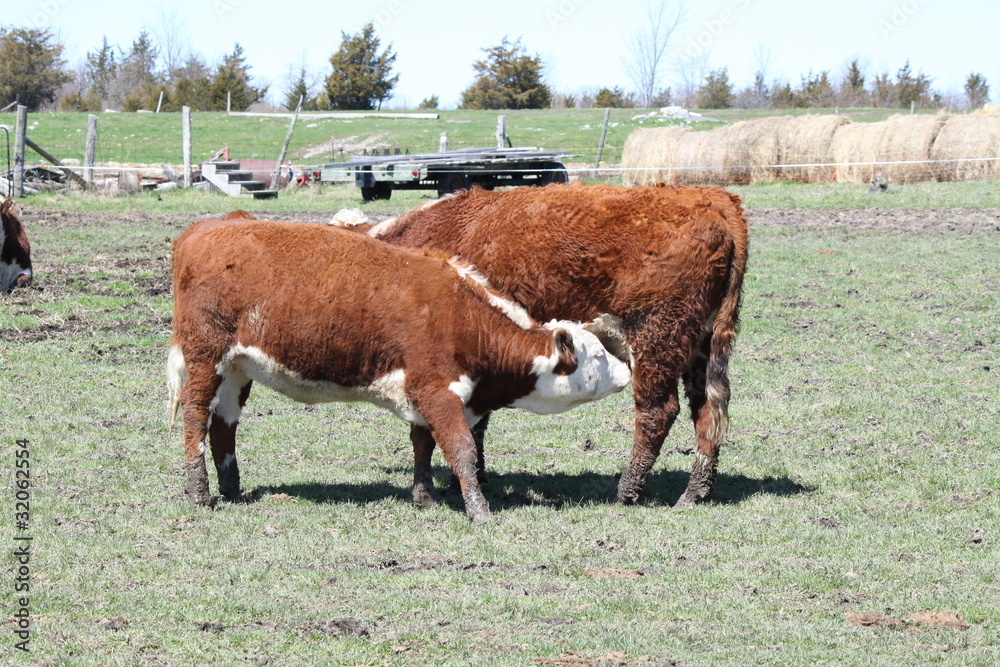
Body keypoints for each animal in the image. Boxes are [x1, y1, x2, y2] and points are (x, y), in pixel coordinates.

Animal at [167, 218, 631, 523]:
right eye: (598, 355)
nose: (627, 370)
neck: (463, 317)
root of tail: (208, 227)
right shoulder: (437, 391)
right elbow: (461, 449)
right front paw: (479, 511)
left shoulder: (422, 394)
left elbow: (423, 446)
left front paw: (425, 499)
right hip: (205, 357)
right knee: (195, 417)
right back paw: (200, 492)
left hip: (237, 368)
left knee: (224, 424)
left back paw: (231, 489)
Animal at [333, 183, 748, 508]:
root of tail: (713, 198)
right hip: (703, 343)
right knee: (707, 409)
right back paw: (695, 491)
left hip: (657, 334)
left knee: (658, 411)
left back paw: (625, 491)